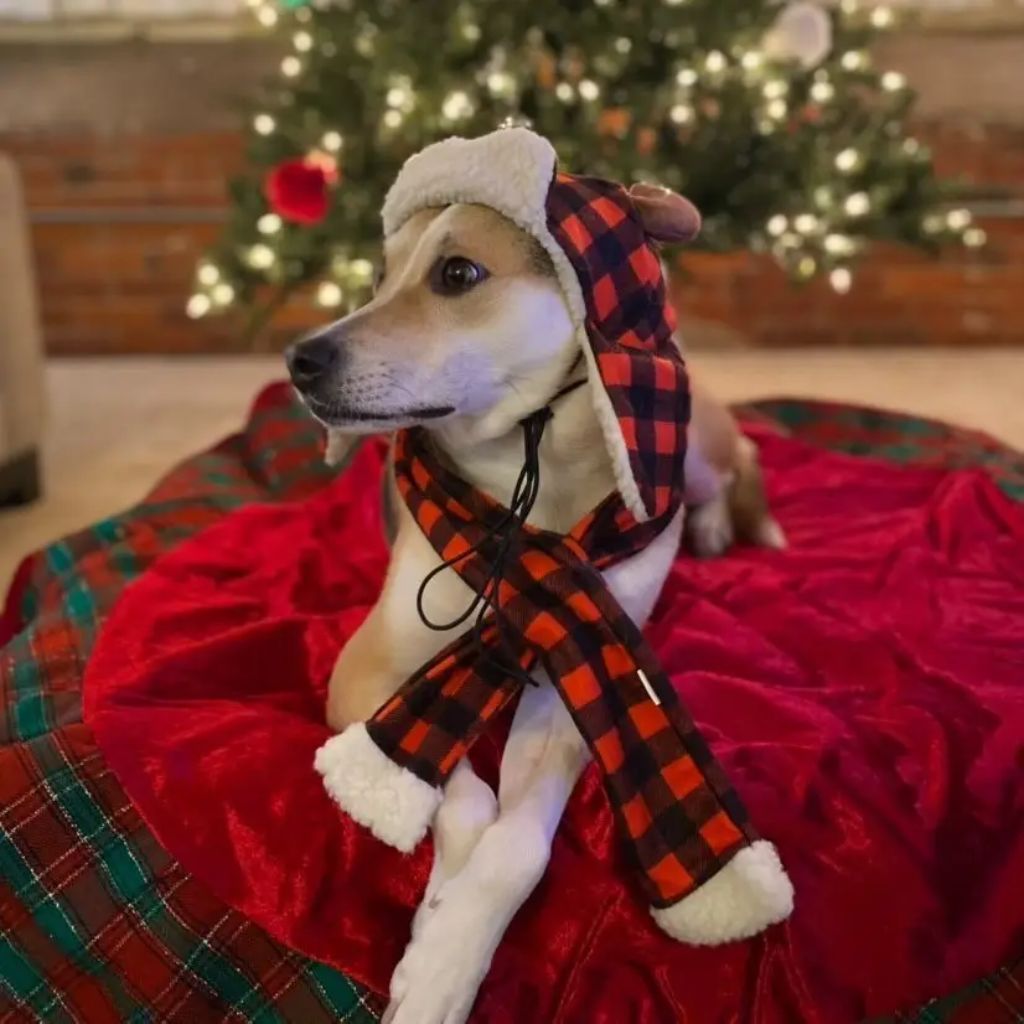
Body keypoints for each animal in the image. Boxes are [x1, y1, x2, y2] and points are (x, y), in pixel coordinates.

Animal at [288, 144, 790, 1024]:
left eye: (457, 273)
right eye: (377, 277)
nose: (300, 360)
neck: (531, 465)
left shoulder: (575, 666)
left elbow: (519, 844)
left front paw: (444, 963)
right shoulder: (366, 671)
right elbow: (458, 793)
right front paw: (435, 920)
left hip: (690, 455)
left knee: (741, 457)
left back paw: (721, 528)